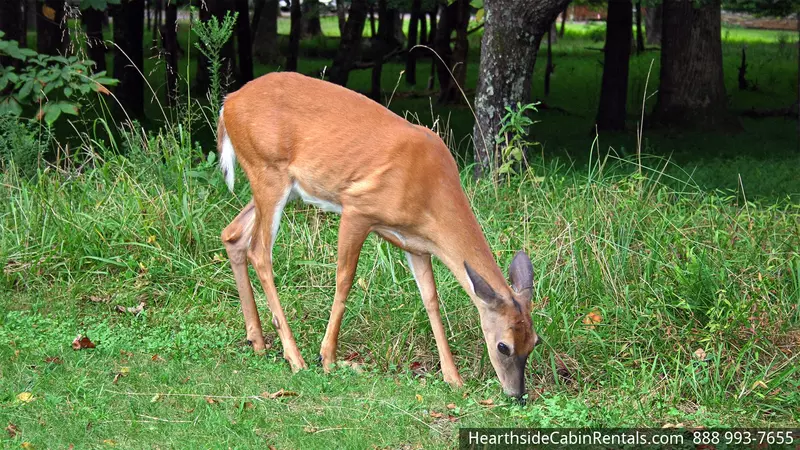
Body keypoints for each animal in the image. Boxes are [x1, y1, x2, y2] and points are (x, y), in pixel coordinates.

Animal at [216, 72, 540, 400]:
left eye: (534, 342)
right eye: (503, 346)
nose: (517, 394)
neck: (430, 192)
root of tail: (229, 103)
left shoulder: (416, 245)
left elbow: (431, 300)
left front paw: (453, 377)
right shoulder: (357, 209)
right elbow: (344, 279)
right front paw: (327, 358)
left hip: (276, 185)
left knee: (233, 234)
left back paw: (257, 341)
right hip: (268, 170)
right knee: (259, 251)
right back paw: (294, 357)